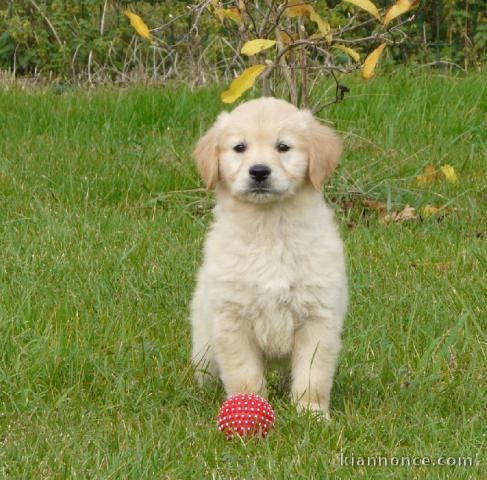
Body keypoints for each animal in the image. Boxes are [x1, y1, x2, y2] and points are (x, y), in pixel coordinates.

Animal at [191, 96, 346, 416]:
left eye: (283, 147)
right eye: (239, 147)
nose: (259, 171)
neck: (270, 227)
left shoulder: (318, 317)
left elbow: (312, 374)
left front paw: (312, 413)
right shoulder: (232, 319)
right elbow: (244, 374)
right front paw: (249, 406)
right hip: (203, 341)